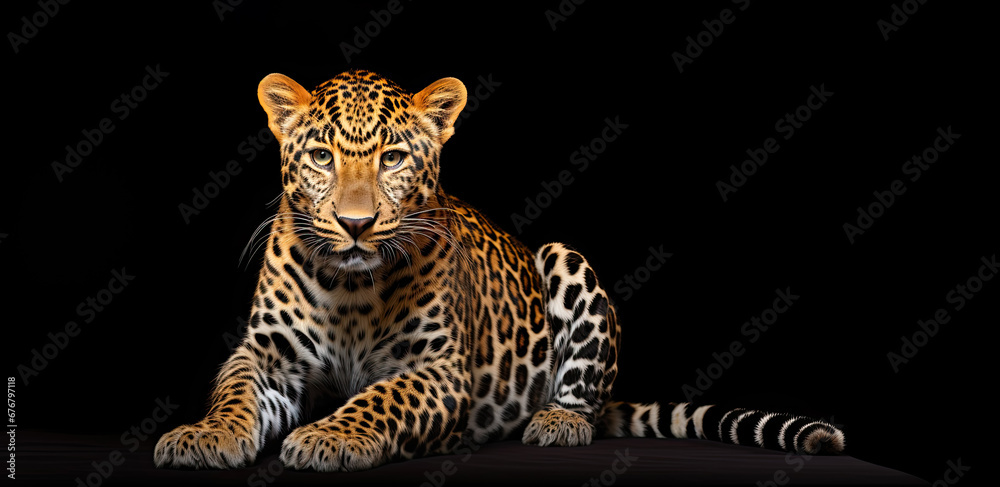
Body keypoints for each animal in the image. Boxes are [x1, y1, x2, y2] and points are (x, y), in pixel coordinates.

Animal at [154, 69, 846, 471]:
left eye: (394, 157)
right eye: (322, 156)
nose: (355, 223)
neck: (349, 288)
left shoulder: (438, 370)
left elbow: (378, 396)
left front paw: (331, 438)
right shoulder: (266, 356)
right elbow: (235, 393)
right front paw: (203, 436)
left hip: (565, 259)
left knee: (584, 394)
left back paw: (557, 422)